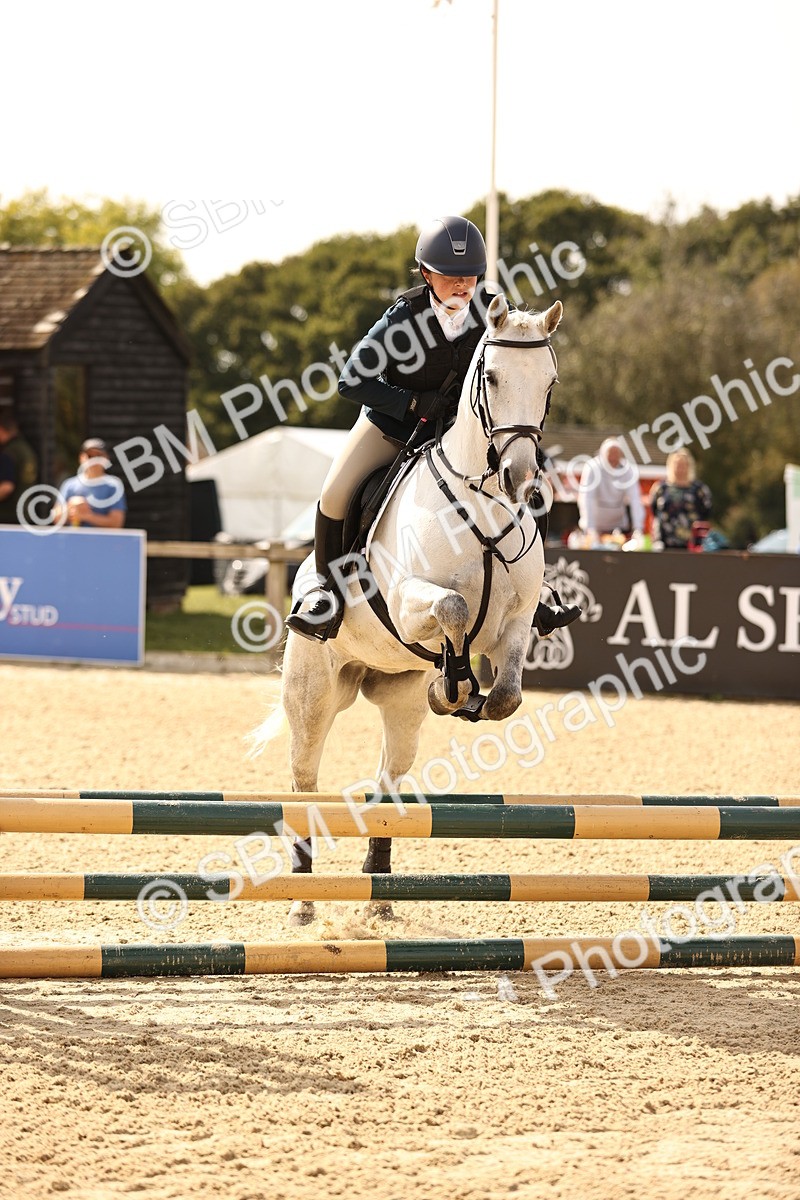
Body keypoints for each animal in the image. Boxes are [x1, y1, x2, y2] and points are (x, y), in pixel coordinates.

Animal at [251, 293, 563, 924]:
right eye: (491, 378)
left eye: (550, 383)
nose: (520, 480)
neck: (481, 503)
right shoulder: (406, 600)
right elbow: (453, 607)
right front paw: (455, 684)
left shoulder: (516, 622)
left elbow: (508, 694)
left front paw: (466, 694)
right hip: (313, 693)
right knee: (303, 779)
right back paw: (304, 901)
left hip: (396, 697)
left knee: (387, 780)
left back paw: (379, 892)